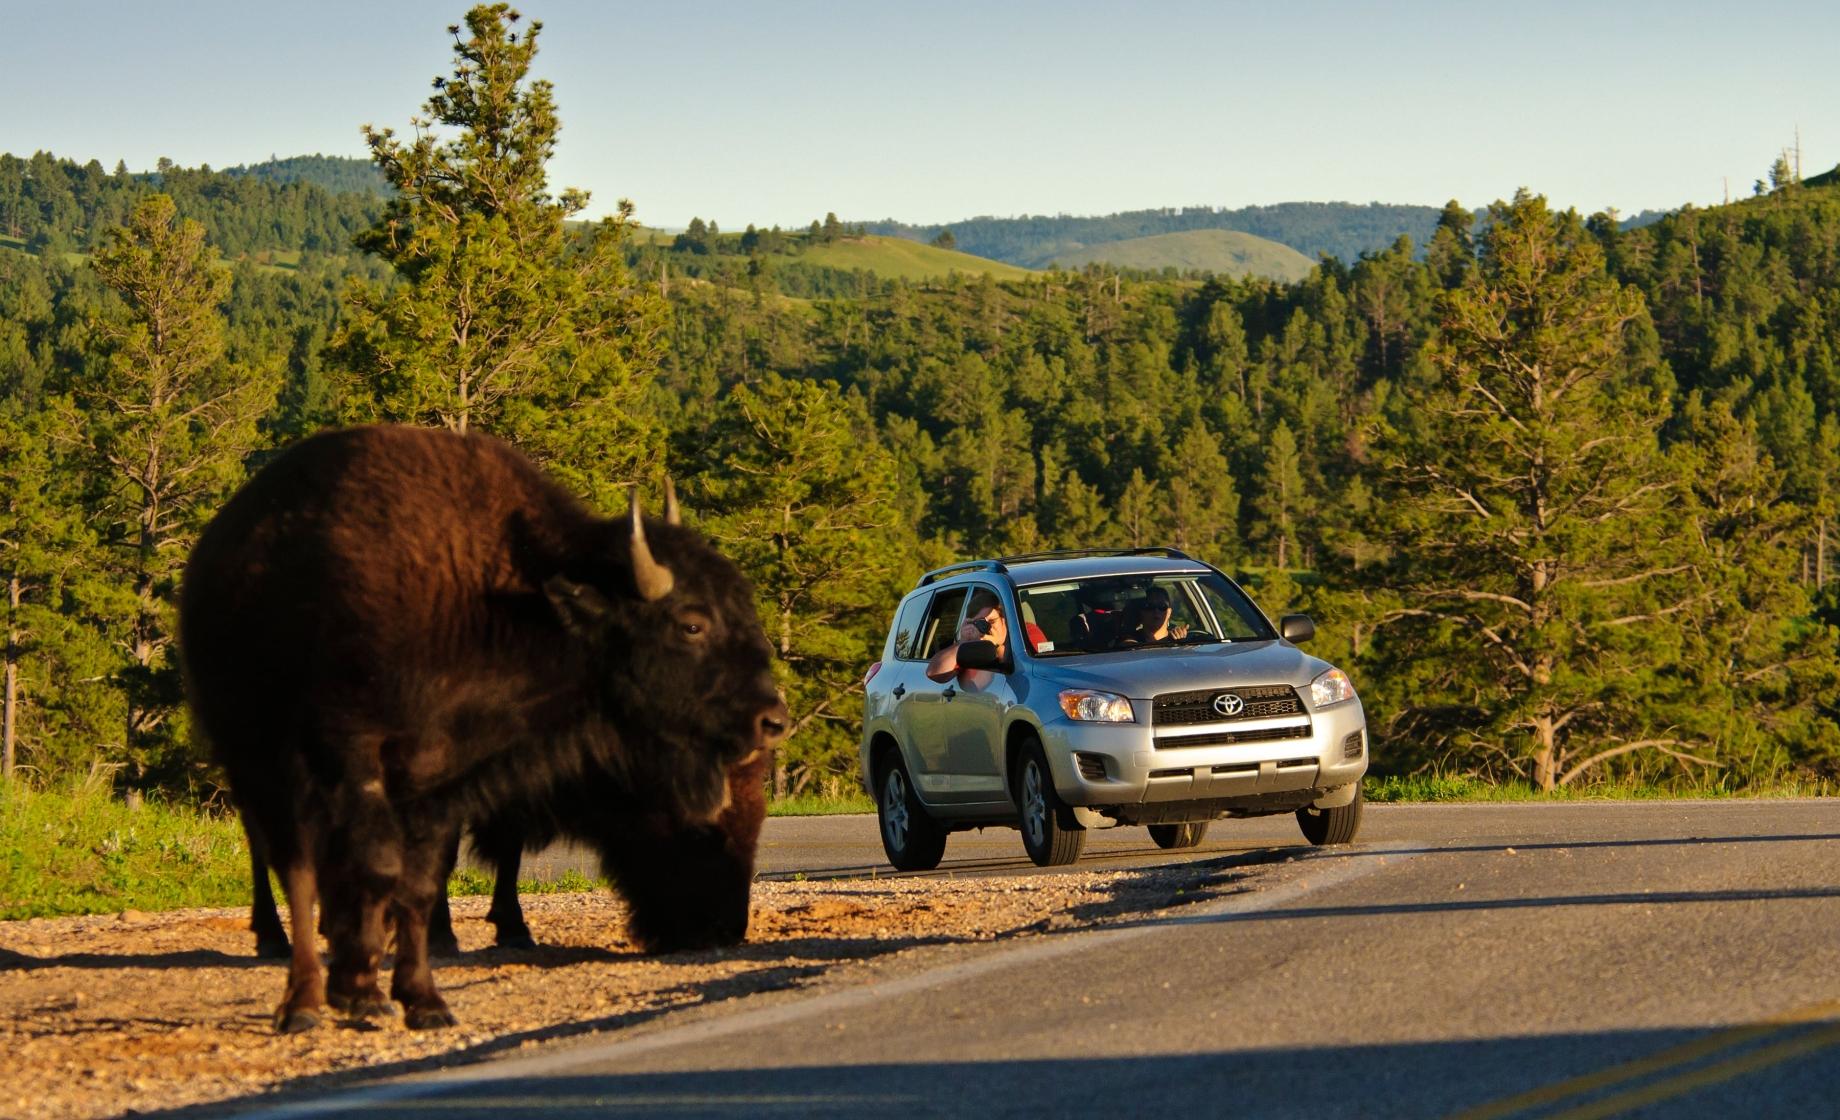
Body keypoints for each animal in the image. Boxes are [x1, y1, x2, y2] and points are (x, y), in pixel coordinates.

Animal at [183, 428, 787, 1029]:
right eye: (692, 623)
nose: (771, 718)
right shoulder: (358, 758)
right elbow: (377, 867)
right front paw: (365, 989)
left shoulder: (444, 780)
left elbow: (424, 879)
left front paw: (425, 997)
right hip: (260, 763)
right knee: (288, 863)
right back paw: (294, 984)